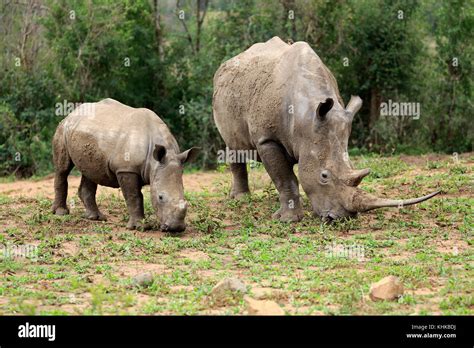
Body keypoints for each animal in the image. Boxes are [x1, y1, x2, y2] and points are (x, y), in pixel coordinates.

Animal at [51, 98, 198, 232]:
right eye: (160, 197)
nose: (176, 228)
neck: (154, 162)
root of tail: (73, 112)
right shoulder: (126, 169)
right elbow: (134, 196)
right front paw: (140, 227)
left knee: (90, 171)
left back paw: (95, 218)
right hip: (63, 128)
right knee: (63, 169)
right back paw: (61, 213)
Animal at [213, 36, 438, 222]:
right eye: (324, 176)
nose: (340, 218)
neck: (305, 120)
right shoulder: (267, 139)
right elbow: (285, 178)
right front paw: (288, 220)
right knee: (233, 145)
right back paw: (240, 200)